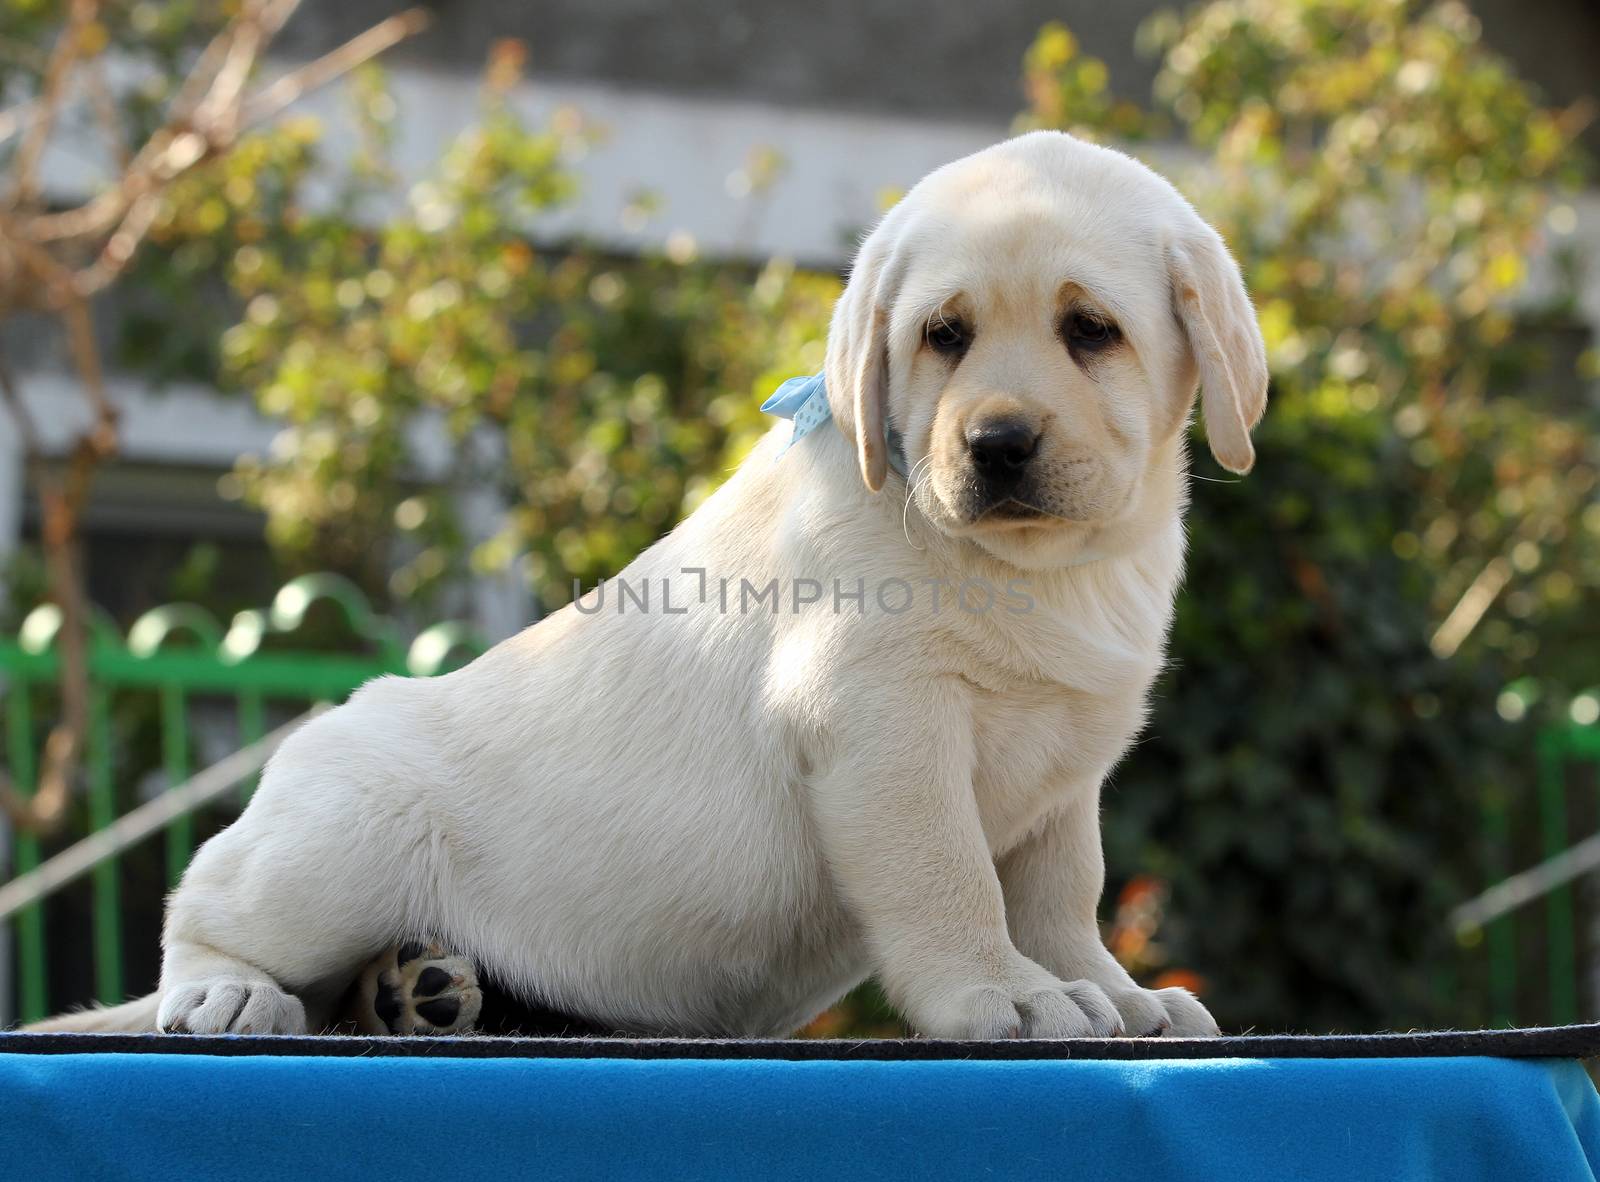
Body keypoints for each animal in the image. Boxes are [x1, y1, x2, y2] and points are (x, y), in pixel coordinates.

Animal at [37, 127, 1260, 1036]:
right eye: (943, 337)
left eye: (1090, 330)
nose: (996, 445)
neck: (1041, 567)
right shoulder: (883, 723)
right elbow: (948, 878)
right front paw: (1001, 994)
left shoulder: (1061, 768)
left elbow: (1062, 895)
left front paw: (1109, 991)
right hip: (332, 846)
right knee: (206, 906)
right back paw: (233, 989)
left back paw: (412, 989)